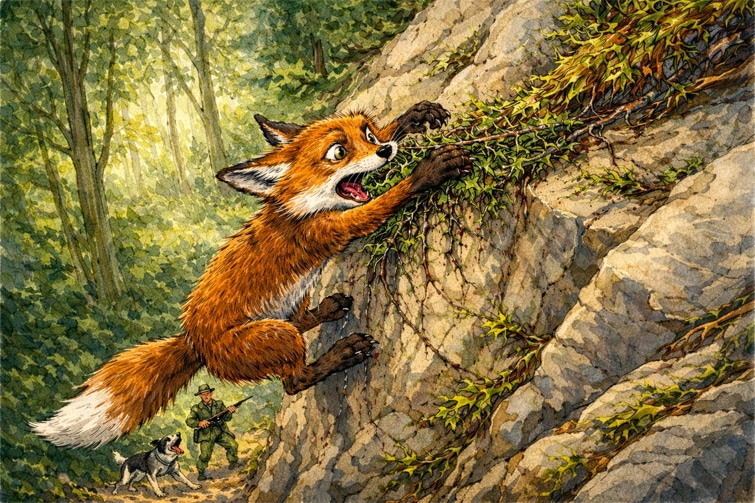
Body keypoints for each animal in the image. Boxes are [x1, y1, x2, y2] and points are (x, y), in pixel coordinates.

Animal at [31, 101, 471, 448]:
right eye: (338, 152)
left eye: (367, 133)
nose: (384, 149)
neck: (296, 211)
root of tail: (194, 342)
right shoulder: (333, 228)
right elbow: (387, 200)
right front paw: (429, 171)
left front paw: (413, 117)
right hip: (273, 336)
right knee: (295, 379)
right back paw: (342, 353)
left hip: (292, 303)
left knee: (301, 321)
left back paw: (329, 309)